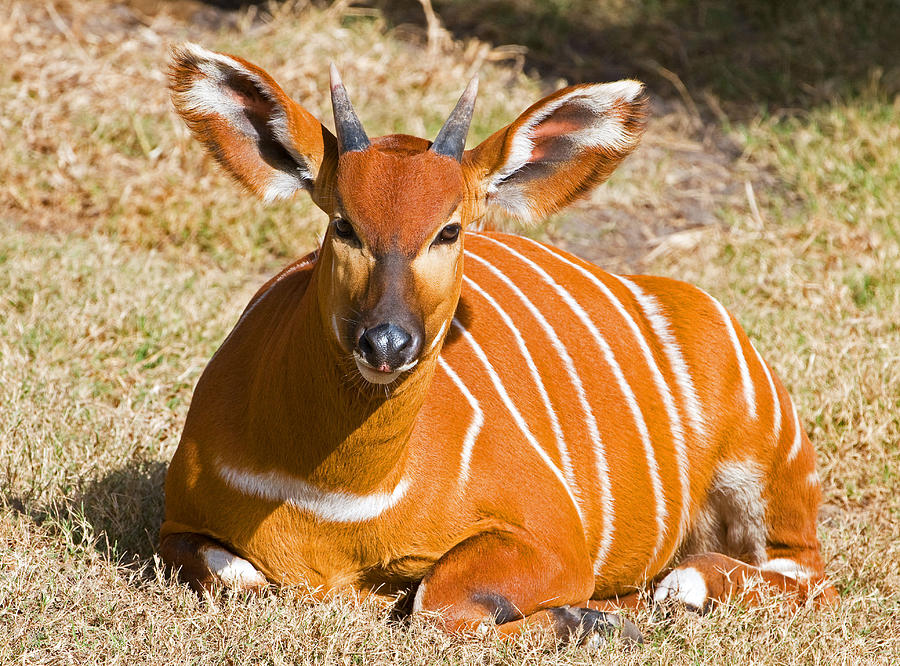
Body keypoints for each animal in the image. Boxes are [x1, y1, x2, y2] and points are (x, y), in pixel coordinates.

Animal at [162, 45, 836, 644]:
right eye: (343, 223)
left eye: (449, 230)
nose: (387, 343)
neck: (334, 501)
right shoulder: (177, 527)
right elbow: (238, 578)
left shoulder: (554, 540)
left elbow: (435, 604)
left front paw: (591, 620)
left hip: (768, 470)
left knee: (804, 577)